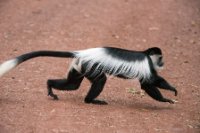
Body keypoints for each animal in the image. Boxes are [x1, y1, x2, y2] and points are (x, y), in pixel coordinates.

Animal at [0, 47, 178, 104]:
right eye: (160, 58)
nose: (163, 63)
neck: (146, 55)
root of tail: (83, 52)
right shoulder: (147, 66)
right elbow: (147, 83)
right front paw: (168, 96)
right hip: (91, 66)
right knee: (100, 80)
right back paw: (91, 100)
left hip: (80, 66)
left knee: (72, 84)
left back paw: (50, 85)